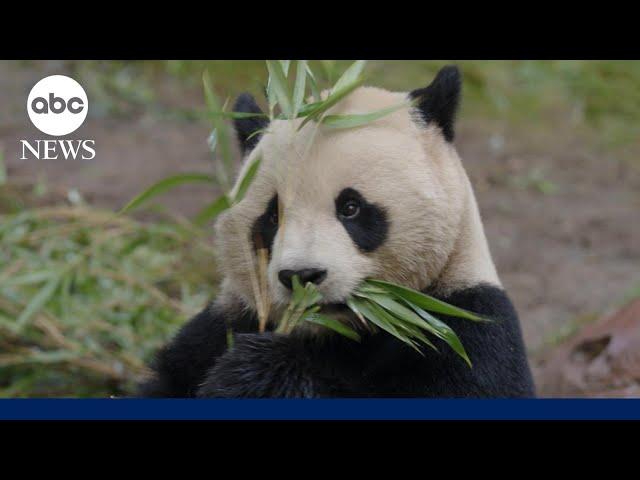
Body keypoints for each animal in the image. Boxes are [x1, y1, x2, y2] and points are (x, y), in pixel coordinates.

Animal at [139, 66, 536, 398]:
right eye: (273, 215)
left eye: (351, 207)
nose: (302, 275)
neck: (332, 331)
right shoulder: (225, 322)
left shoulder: (462, 324)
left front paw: (258, 371)